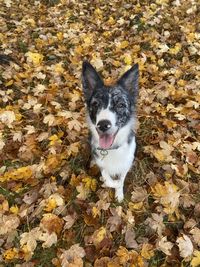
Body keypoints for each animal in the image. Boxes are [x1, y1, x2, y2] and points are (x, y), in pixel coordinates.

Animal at [81, 61, 139, 203]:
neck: (112, 149)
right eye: (95, 104)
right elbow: (108, 180)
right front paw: (113, 184)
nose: (103, 125)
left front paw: (119, 192)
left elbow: (121, 179)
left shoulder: (126, 163)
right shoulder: (101, 163)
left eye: (120, 105)